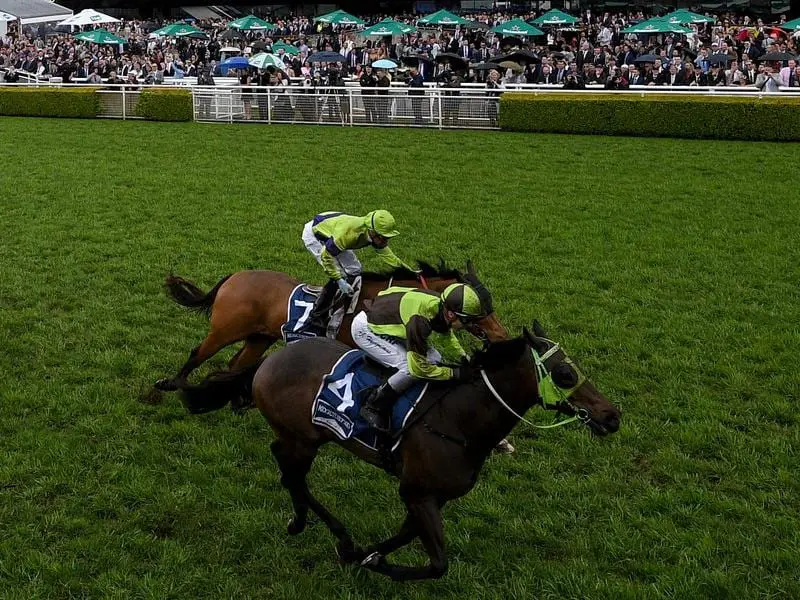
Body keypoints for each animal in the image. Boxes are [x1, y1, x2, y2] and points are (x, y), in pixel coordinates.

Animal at [155, 260, 506, 392]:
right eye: (481, 310)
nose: (501, 335)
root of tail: (234, 277)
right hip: (225, 331)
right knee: (198, 353)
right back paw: (171, 384)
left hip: (257, 338)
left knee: (234, 365)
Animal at [180, 324, 620, 580]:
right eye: (565, 374)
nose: (611, 416)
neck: (459, 420)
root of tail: (271, 360)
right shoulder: (416, 491)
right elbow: (439, 563)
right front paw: (376, 561)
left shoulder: (432, 495)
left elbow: (407, 534)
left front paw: (370, 555)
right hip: (304, 439)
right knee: (292, 476)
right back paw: (328, 533)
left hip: (306, 437)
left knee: (287, 470)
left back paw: (319, 530)